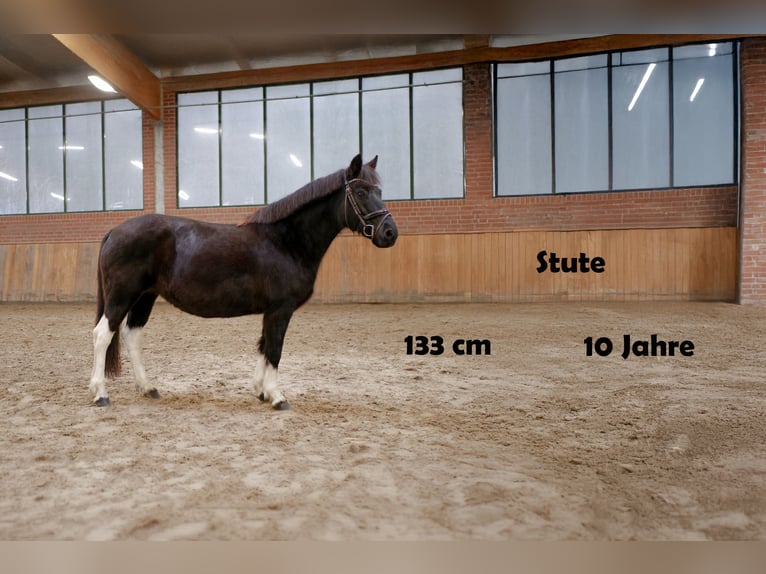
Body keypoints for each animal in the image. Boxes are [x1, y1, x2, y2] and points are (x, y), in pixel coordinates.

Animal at [89, 154, 398, 410]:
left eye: (380, 191)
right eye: (361, 192)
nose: (390, 233)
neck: (286, 242)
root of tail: (114, 231)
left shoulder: (271, 311)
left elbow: (264, 345)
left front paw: (261, 391)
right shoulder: (280, 309)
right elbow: (275, 349)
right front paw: (277, 397)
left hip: (145, 297)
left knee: (131, 335)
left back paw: (147, 387)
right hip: (122, 296)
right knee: (103, 334)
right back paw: (100, 394)